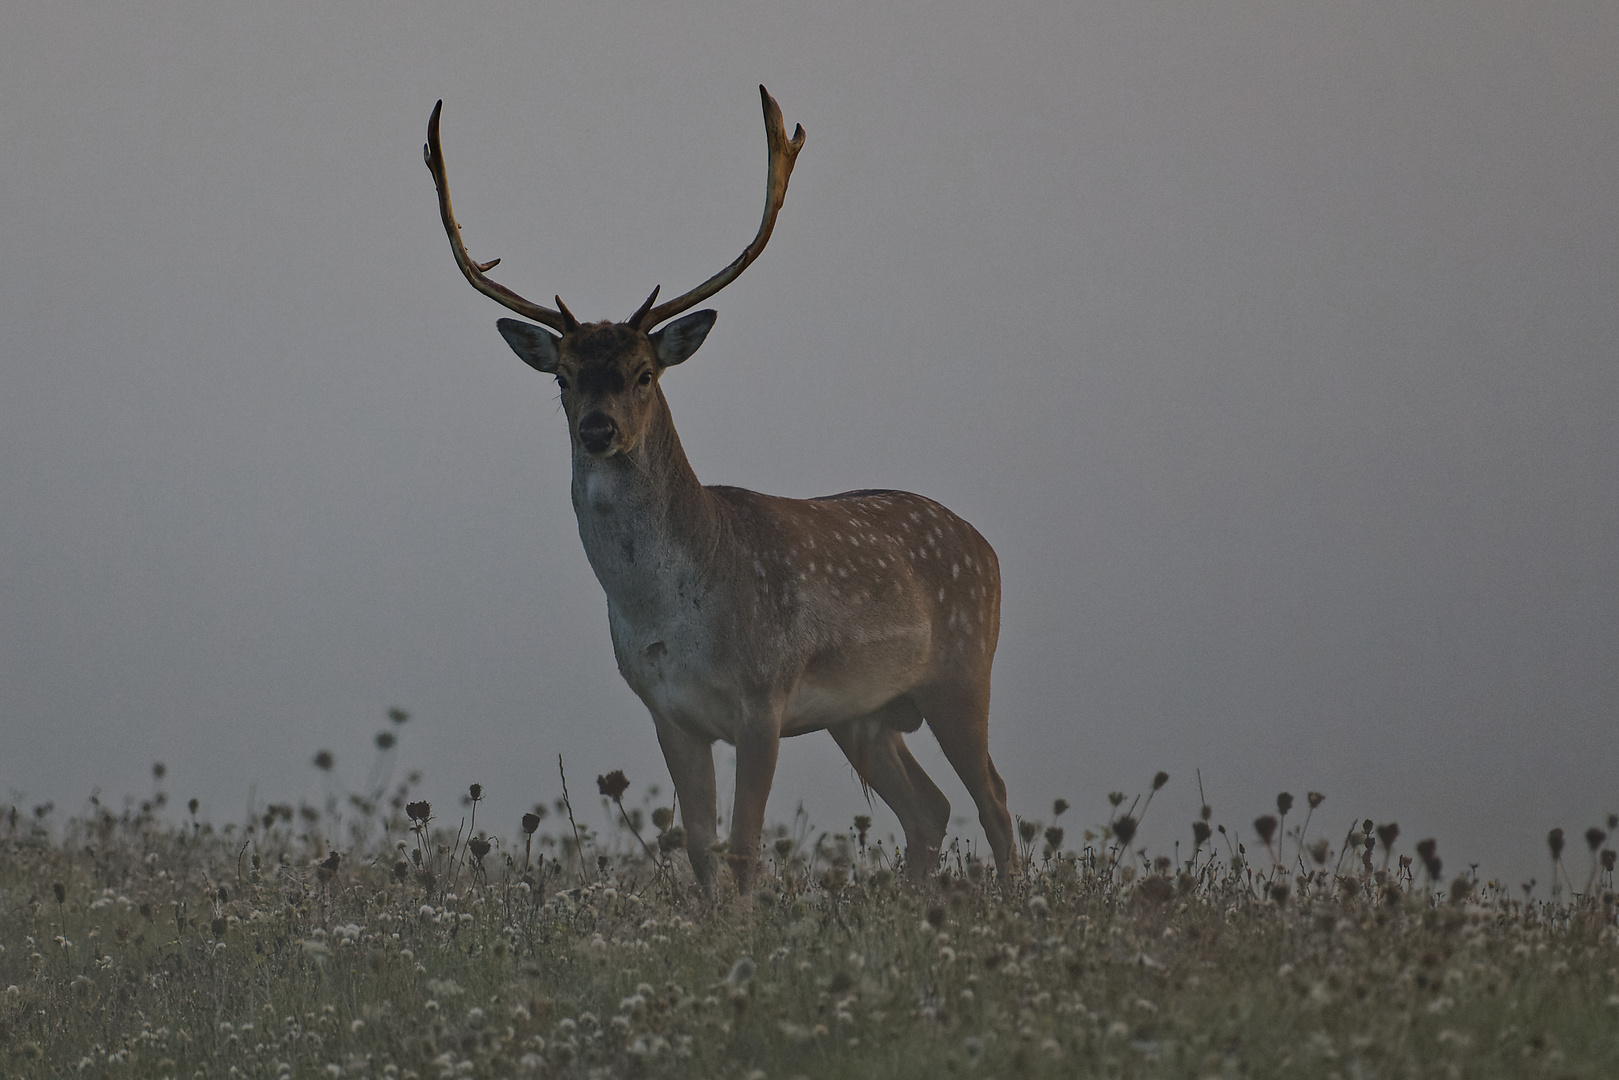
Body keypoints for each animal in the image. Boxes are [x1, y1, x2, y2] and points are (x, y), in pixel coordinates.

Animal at [430, 84, 1010, 900]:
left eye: (644, 372)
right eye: (564, 376)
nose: (599, 428)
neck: (666, 613)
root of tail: (985, 546)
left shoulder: (764, 694)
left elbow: (742, 850)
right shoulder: (666, 710)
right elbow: (701, 848)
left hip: (963, 668)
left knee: (993, 799)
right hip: (865, 714)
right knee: (929, 809)